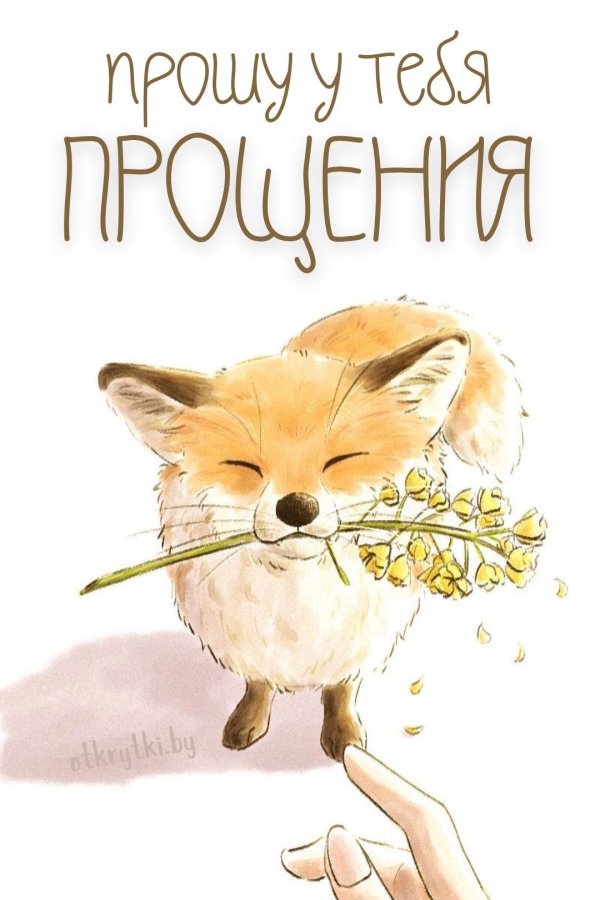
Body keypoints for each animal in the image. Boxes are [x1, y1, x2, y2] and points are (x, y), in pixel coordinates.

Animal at [98, 297, 523, 761]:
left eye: (341, 460)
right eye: (244, 466)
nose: (297, 507)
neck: (297, 597)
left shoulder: (357, 638)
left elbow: (340, 690)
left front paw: (344, 736)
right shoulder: (246, 638)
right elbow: (257, 682)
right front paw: (249, 718)